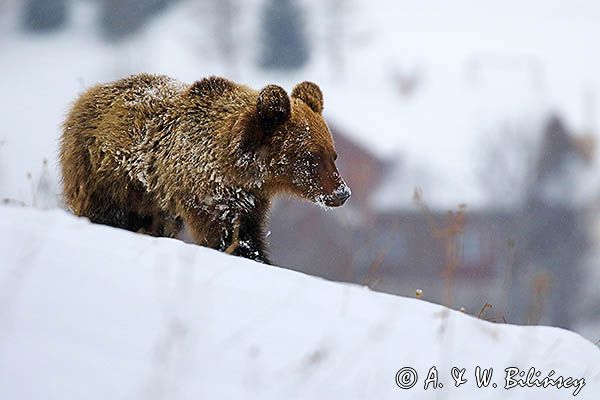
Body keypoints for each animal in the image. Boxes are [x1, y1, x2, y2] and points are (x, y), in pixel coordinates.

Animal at [58, 74, 350, 264]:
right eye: (311, 157)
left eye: (333, 154)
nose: (342, 192)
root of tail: (87, 95)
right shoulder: (205, 193)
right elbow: (222, 236)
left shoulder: (251, 201)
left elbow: (248, 235)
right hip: (102, 175)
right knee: (103, 211)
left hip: (150, 201)